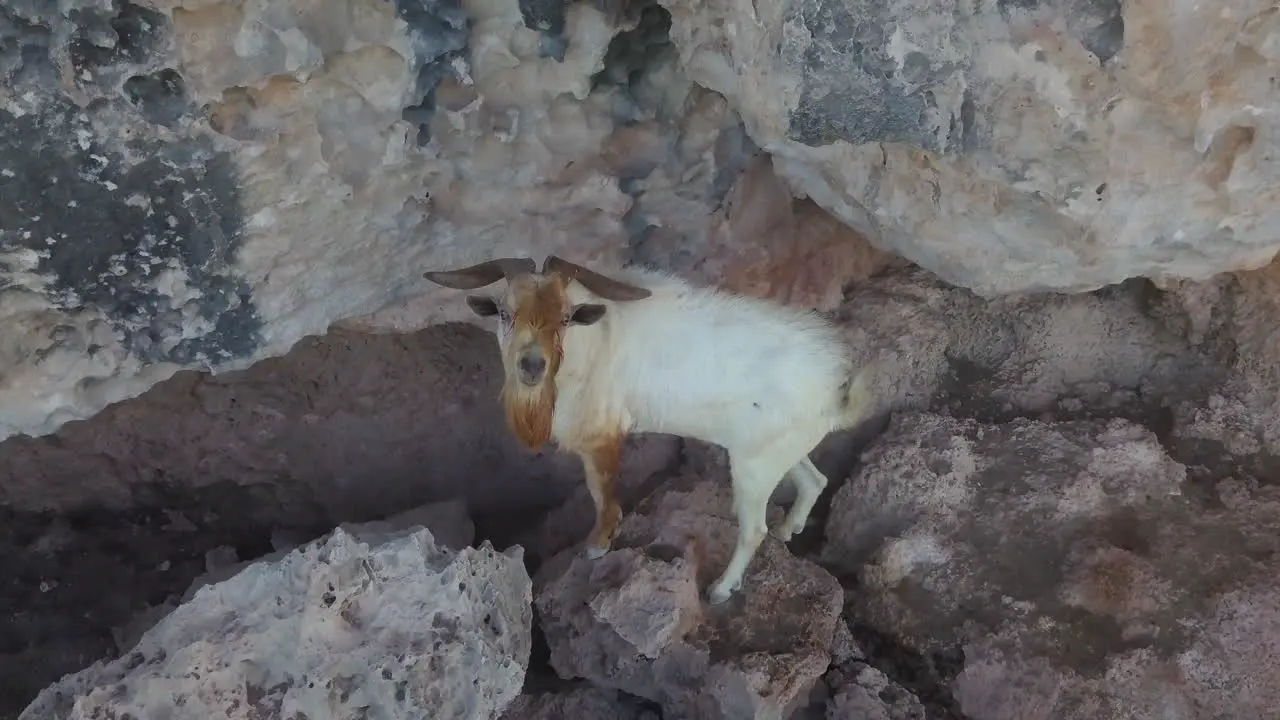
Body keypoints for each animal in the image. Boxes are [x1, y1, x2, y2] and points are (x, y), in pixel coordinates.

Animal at [424, 252, 875, 599]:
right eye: (505, 312)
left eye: (566, 317)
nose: (531, 366)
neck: (591, 344)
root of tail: (834, 387)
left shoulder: (602, 436)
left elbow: (602, 494)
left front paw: (597, 546)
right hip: (776, 451)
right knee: (813, 480)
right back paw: (789, 528)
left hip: (753, 467)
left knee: (753, 530)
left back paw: (721, 589)